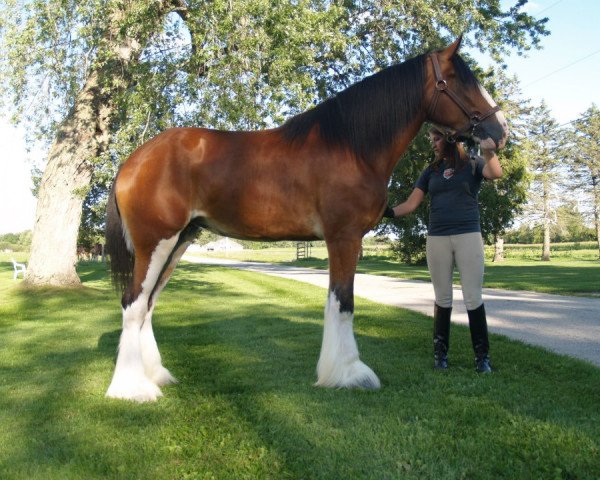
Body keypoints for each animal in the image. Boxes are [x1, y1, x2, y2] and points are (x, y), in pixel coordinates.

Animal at [103, 38, 506, 402]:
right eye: (458, 81)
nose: (498, 131)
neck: (351, 147)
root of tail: (133, 161)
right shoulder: (344, 237)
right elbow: (344, 303)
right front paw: (350, 374)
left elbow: (334, 301)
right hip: (156, 243)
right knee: (133, 302)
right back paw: (131, 389)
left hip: (179, 242)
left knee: (147, 304)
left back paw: (155, 375)